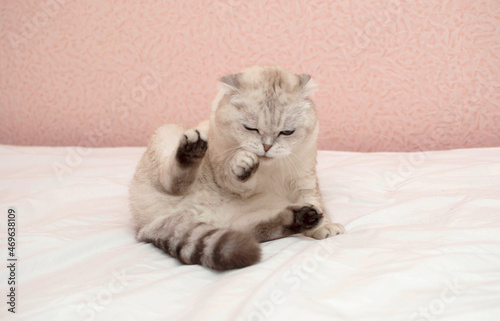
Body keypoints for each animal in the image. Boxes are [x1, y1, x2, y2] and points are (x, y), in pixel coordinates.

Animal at [130, 65, 344, 270]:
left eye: (287, 132)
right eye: (251, 128)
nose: (266, 147)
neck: (268, 170)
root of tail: (148, 224)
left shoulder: (304, 179)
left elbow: (314, 200)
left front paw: (323, 226)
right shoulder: (224, 174)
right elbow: (237, 175)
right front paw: (244, 163)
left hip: (240, 225)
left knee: (261, 229)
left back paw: (303, 217)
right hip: (167, 135)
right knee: (174, 182)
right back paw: (193, 148)